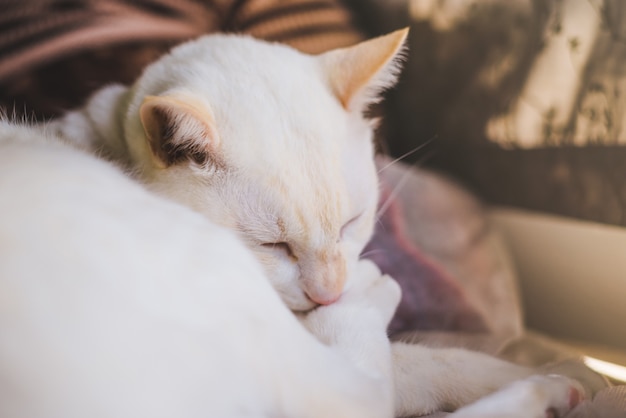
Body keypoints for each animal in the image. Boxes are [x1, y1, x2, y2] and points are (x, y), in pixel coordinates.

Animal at [0, 30, 584, 418]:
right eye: (274, 245)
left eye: (352, 223)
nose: (330, 292)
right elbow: (429, 363)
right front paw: (561, 371)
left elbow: (435, 364)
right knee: (358, 392)